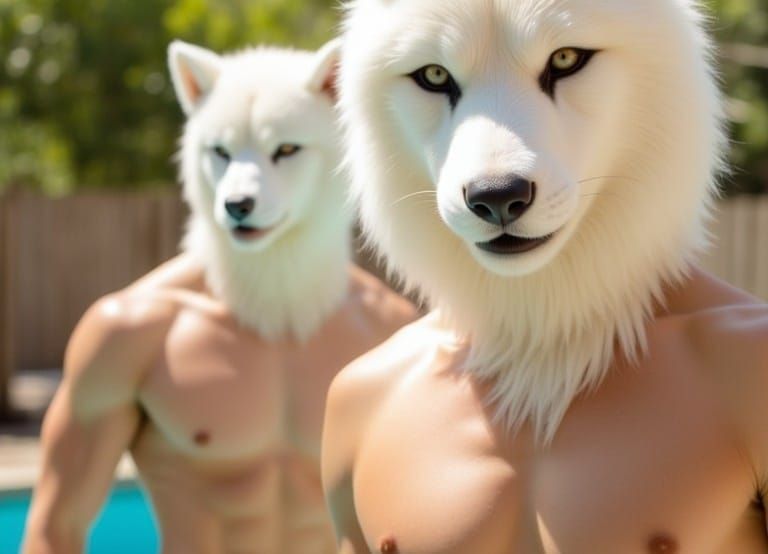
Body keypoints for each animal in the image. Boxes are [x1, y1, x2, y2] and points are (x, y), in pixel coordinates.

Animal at [24, 40, 415, 554]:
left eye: (286, 149)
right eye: (220, 152)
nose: (236, 205)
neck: (277, 301)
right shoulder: (107, 341)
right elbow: (63, 517)